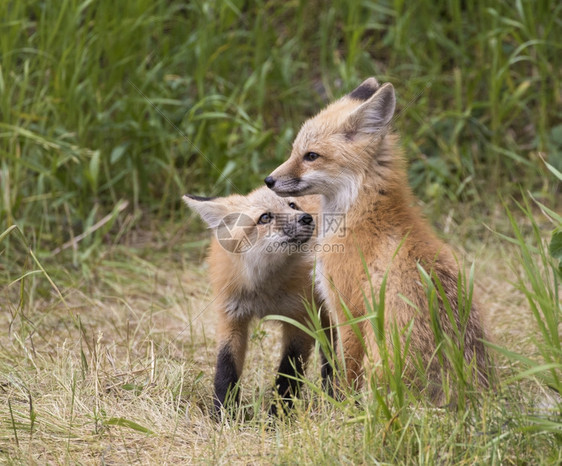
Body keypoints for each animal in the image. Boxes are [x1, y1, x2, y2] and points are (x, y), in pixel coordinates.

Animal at [182, 187, 330, 416]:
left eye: (292, 205)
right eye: (265, 217)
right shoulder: (231, 316)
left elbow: (288, 373)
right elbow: (225, 367)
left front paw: (278, 415)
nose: (306, 218)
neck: (265, 289)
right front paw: (223, 413)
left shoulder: (300, 320)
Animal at [264, 78, 488, 402]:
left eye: (311, 156)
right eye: (295, 152)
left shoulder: (347, 310)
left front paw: (341, 410)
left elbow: (345, 375)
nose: (268, 180)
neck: (362, 217)